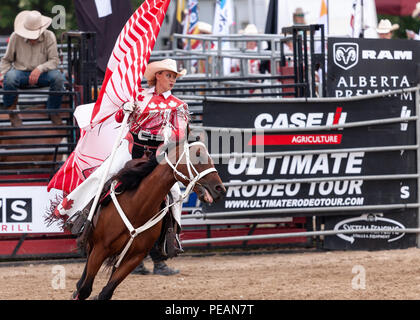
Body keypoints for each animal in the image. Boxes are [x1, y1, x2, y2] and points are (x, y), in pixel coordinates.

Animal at [71, 140, 226, 300]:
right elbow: (85, 289)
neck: (137, 206)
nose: (220, 189)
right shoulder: (100, 249)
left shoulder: (134, 257)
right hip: (93, 245)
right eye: (197, 156)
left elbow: (106, 292)